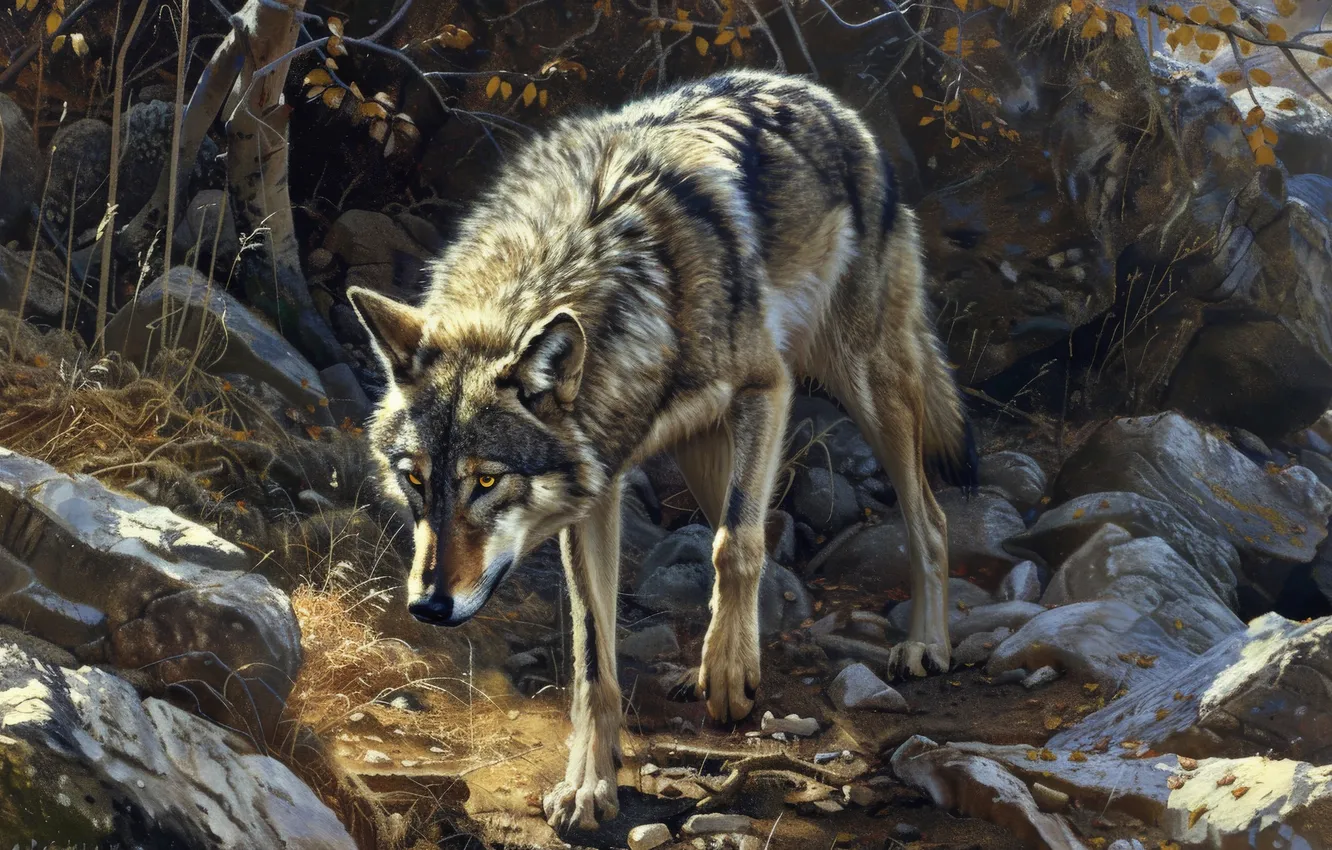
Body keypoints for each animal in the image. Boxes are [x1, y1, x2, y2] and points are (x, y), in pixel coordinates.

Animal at [349, 68, 975, 833]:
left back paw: (924, 645)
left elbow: (731, 548)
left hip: (863, 382)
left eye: (487, 481)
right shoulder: (597, 491)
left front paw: (729, 677)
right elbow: (594, 657)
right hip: (710, 452)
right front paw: (589, 784)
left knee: (923, 520)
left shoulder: (767, 386)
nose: (428, 607)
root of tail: (817, 95)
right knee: (768, 535)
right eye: (415, 479)